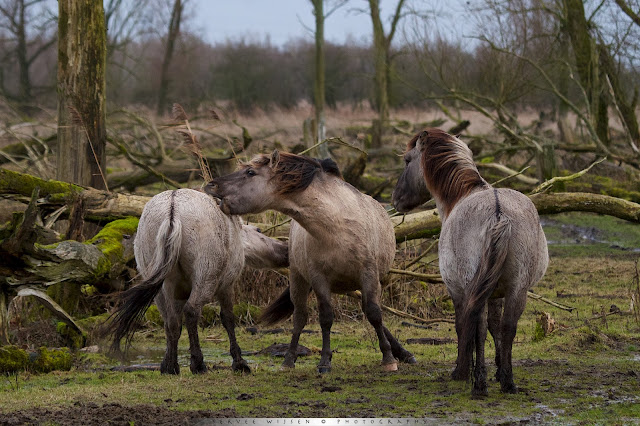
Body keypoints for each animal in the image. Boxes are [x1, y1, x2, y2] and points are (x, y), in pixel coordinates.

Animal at [104, 188, 288, 374]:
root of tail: (172, 209)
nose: (286, 250)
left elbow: (175, 326)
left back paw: (171, 367)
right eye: (259, 230)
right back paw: (198, 364)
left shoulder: (177, 293)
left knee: (170, 320)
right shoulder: (226, 286)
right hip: (204, 279)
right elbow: (228, 318)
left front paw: (168, 363)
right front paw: (239, 363)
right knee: (192, 311)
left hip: (160, 287)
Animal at [205, 151, 416, 372]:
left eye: (250, 172)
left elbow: (375, 314)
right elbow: (326, 318)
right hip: (300, 279)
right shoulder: (319, 279)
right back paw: (288, 360)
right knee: (300, 317)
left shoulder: (369, 275)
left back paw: (404, 354)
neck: (337, 227)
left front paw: (389, 359)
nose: (211, 185)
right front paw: (324, 361)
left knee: (368, 310)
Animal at [392, 129, 548, 396]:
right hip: (518, 289)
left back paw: (479, 383)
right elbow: (496, 327)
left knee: (477, 325)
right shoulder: (497, 292)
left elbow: (463, 326)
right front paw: (498, 369)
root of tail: (499, 213)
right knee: (508, 326)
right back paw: (508, 382)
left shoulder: (457, 290)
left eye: (407, 160)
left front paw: (461, 370)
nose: (395, 199)